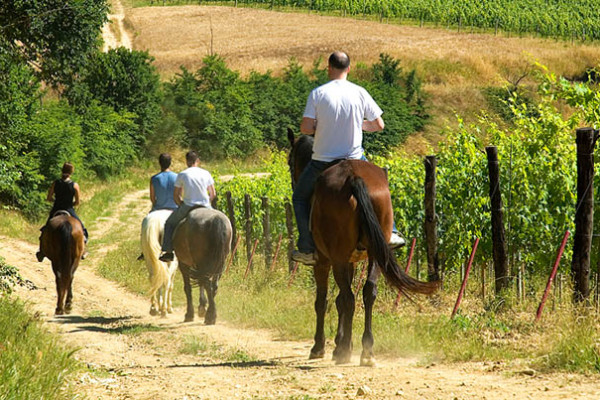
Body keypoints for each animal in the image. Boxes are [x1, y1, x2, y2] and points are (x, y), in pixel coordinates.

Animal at [288, 130, 438, 366]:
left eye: (289, 161)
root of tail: (353, 178)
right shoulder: (349, 260)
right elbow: (340, 300)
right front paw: (342, 343)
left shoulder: (324, 261)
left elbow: (324, 301)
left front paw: (321, 347)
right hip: (376, 253)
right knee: (368, 292)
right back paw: (367, 350)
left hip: (338, 258)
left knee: (349, 297)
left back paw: (344, 353)